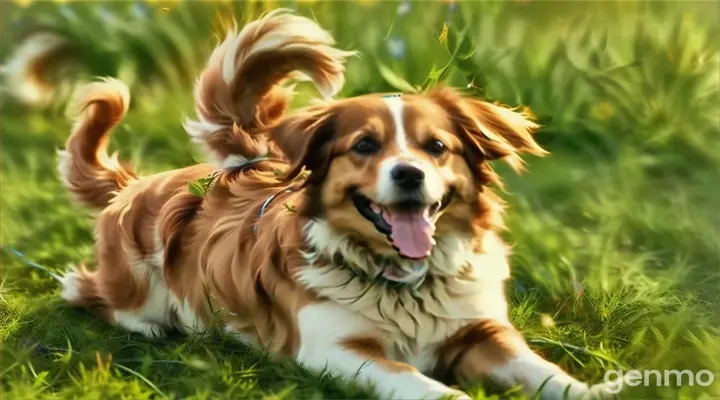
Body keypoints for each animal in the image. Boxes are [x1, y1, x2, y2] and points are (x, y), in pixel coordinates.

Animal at [59, 8, 616, 400]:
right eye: (365, 145)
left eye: (436, 146)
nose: (409, 173)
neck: (407, 285)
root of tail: (136, 185)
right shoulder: (338, 351)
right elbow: (424, 383)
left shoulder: (482, 331)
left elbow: (542, 370)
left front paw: (593, 389)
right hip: (136, 281)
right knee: (86, 291)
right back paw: (150, 323)